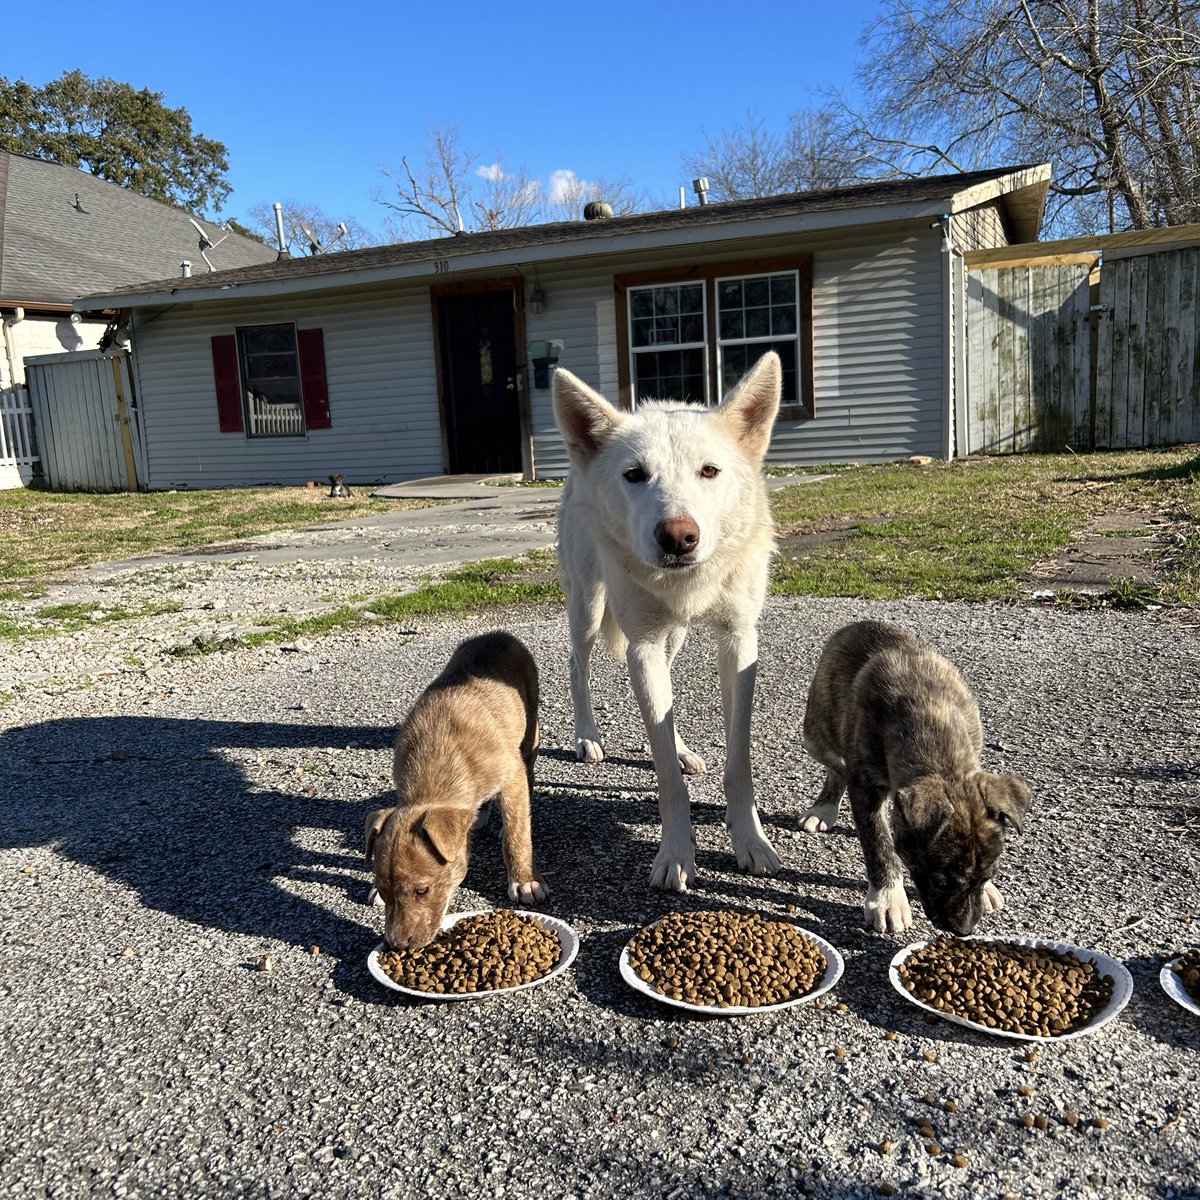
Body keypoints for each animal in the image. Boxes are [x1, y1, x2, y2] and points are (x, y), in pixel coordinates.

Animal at [362, 633, 547, 950]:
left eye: (422, 890)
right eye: (383, 889)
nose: (397, 944)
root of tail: (497, 634)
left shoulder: (511, 775)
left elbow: (517, 836)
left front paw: (523, 881)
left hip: (529, 730)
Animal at [549, 350, 782, 888]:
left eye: (710, 471)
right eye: (635, 475)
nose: (678, 537)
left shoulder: (739, 641)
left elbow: (738, 760)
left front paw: (751, 842)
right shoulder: (644, 645)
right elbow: (667, 781)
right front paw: (676, 854)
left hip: (671, 638)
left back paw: (680, 748)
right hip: (588, 607)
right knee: (577, 665)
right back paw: (587, 737)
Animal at [801, 619, 1027, 936]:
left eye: (988, 873)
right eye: (941, 878)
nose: (964, 930)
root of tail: (859, 623)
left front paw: (989, 891)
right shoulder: (866, 787)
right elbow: (878, 842)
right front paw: (888, 898)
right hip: (815, 735)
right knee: (837, 768)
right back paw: (824, 808)